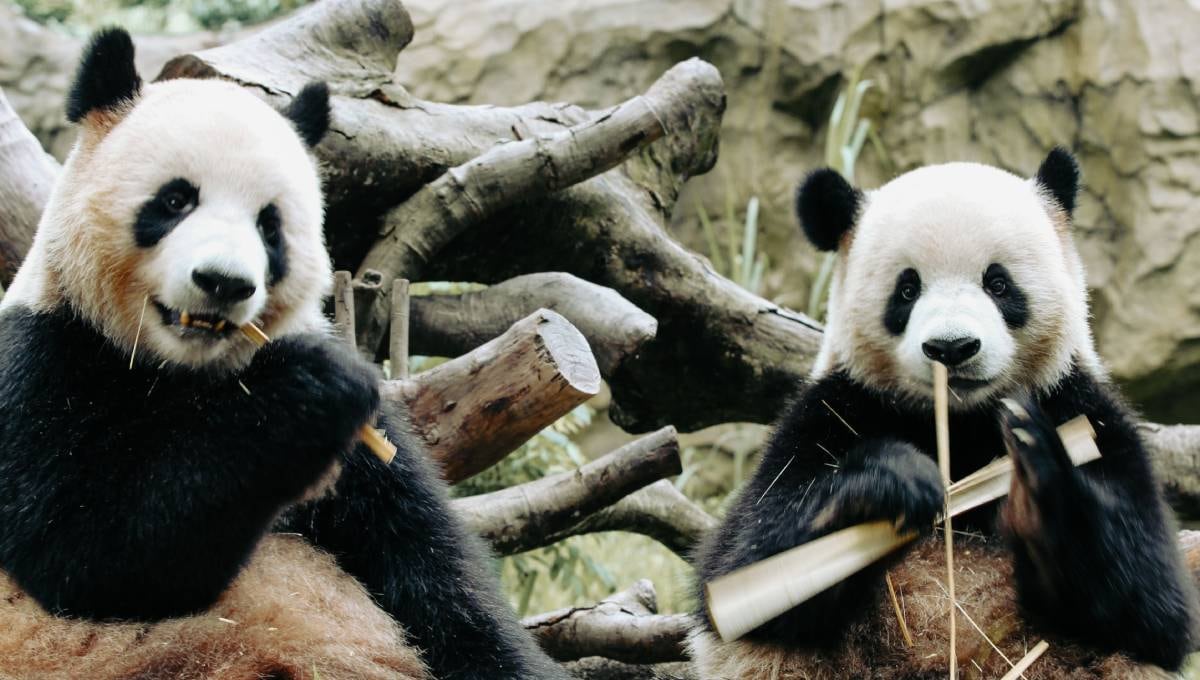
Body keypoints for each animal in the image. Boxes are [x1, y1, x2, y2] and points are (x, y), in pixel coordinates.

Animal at [0, 28, 569, 680]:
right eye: (175, 201)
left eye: (269, 226)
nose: (223, 282)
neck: (182, 373)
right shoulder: (41, 359)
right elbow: (83, 556)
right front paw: (309, 389)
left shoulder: (364, 458)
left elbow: (431, 574)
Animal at [690, 149, 1198, 676]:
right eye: (907, 289)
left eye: (998, 283)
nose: (951, 348)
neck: (960, 423)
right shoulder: (831, 410)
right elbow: (744, 558)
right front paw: (891, 480)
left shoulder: (1086, 412)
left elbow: (1154, 605)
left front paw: (1036, 481)